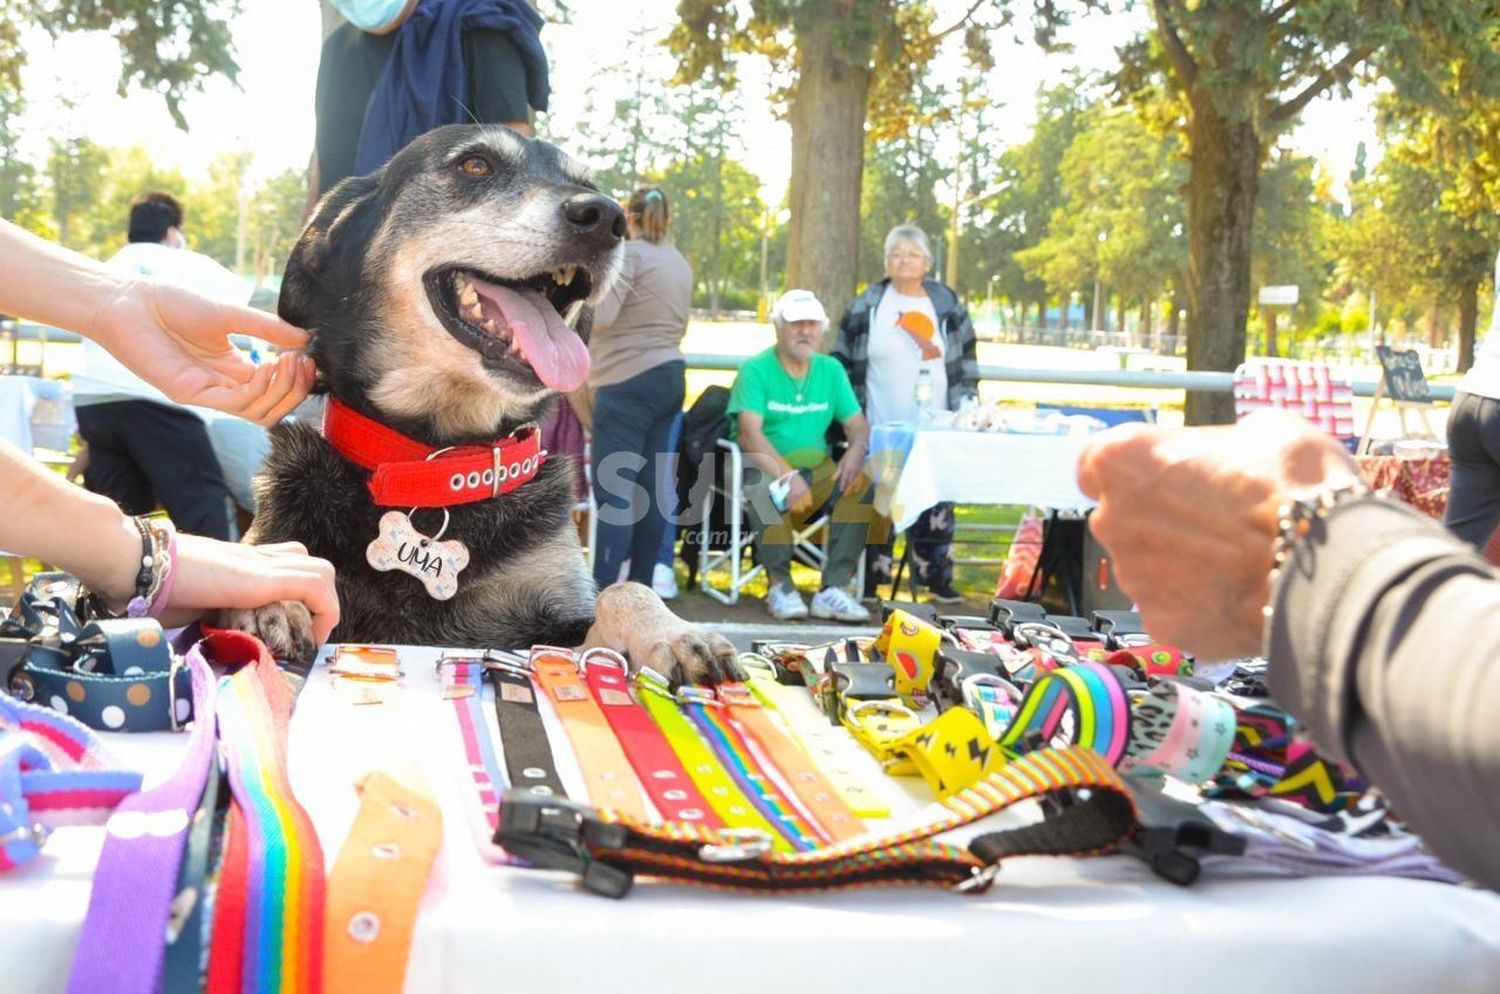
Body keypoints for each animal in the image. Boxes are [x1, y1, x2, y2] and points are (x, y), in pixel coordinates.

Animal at [226, 122, 744, 683]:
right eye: (475, 164)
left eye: (591, 185)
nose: (607, 217)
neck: (435, 463)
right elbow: (269, 558)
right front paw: (267, 593)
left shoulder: (548, 622)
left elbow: (625, 588)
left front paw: (677, 633)